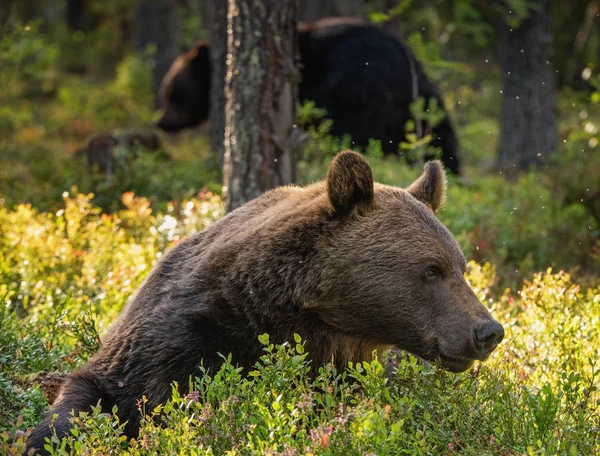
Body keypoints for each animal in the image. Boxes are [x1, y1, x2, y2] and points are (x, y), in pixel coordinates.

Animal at [27, 151, 502, 452]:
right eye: (430, 270)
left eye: (461, 266)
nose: (488, 330)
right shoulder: (177, 338)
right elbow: (101, 392)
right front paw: (47, 437)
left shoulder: (340, 368)